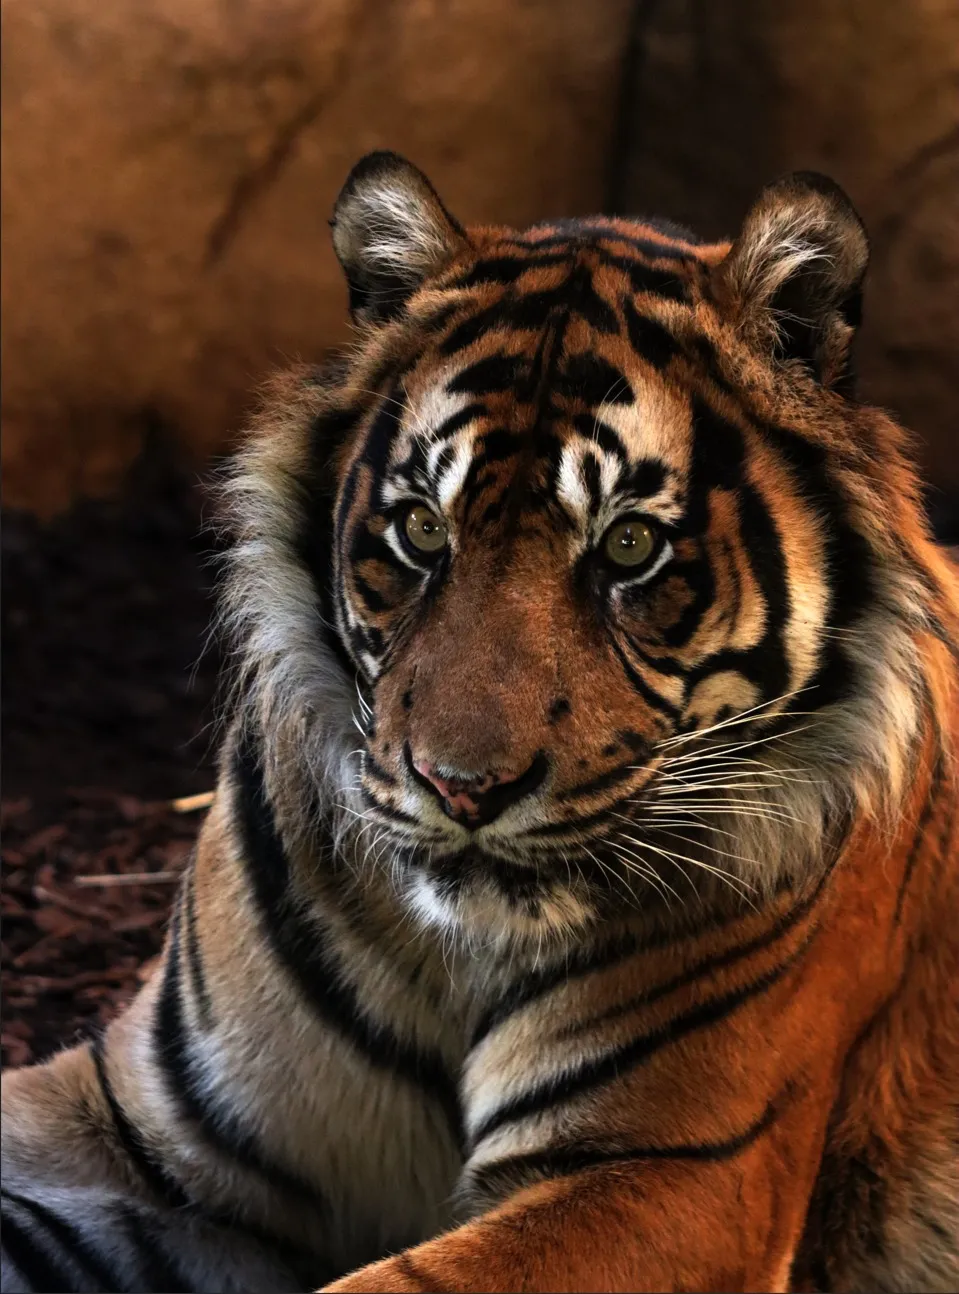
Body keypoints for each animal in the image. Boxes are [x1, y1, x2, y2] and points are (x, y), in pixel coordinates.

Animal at [2, 148, 958, 1294]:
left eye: (629, 547)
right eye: (421, 531)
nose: (461, 789)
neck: (452, 960)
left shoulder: (669, 1176)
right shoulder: (142, 1130)